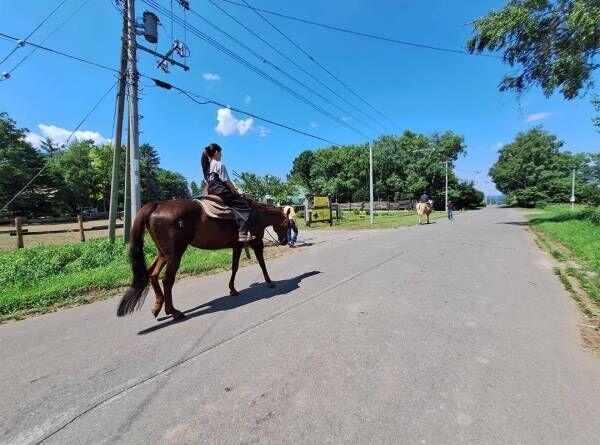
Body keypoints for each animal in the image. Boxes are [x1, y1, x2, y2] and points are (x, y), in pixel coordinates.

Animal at [116, 198, 288, 320]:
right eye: (287, 223)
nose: (284, 241)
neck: (258, 214)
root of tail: (157, 205)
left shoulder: (237, 246)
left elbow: (234, 267)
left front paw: (232, 289)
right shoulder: (257, 243)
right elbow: (262, 263)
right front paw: (270, 282)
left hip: (163, 253)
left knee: (152, 274)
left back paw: (157, 306)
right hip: (175, 255)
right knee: (167, 280)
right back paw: (174, 312)